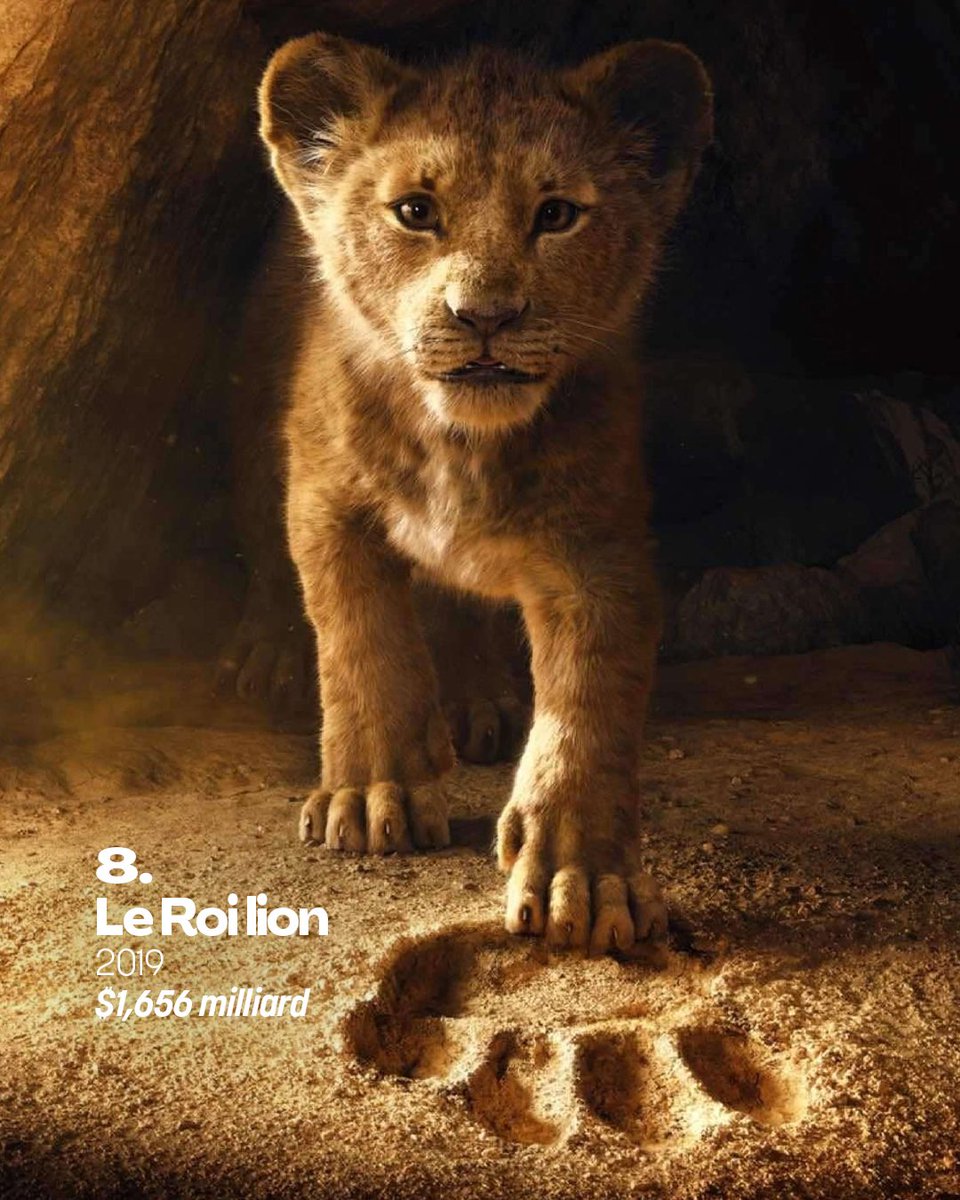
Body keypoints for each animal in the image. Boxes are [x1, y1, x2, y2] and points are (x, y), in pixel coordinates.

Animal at [249, 32, 712, 953]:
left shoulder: (598, 549)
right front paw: (373, 794)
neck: (460, 442)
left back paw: (475, 702)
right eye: (415, 211)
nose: (485, 316)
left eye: (557, 214)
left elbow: (588, 705)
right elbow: (362, 643)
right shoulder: (325, 503)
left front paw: (583, 875)